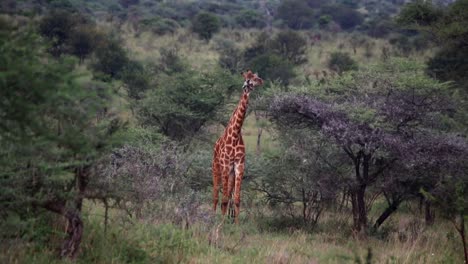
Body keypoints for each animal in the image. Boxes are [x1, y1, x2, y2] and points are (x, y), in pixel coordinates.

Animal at [212, 69, 264, 223]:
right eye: (249, 78)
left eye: (256, 77)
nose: (261, 81)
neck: (235, 134)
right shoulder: (225, 165)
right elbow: (223, 199)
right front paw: (221, 224)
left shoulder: (239, 166)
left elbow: (236, 199)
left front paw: (236, 224)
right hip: (216, 168)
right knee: (216, 196)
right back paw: (212, 217)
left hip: (230, 173)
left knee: (227, 195)